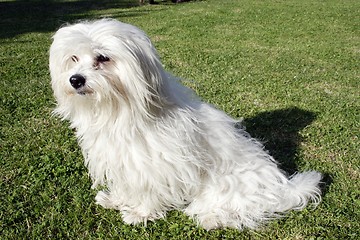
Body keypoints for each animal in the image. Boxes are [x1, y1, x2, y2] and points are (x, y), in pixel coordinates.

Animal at [49, 18, 322, 229]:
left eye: (103, 58)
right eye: (73, 58)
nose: (75, 79)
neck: (118, 111)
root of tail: (281, 188)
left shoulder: (156, 165)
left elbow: (148, 190)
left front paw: (140, 212)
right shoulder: (124, 162)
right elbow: (128, 186)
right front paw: (117, 200)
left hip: (227, 185)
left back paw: (212, 218)